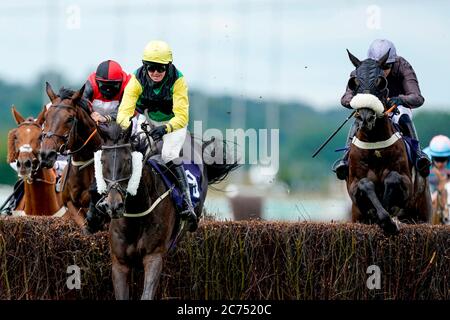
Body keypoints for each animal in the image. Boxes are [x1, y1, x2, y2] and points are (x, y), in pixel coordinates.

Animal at [94, 122, 236, 300]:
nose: (114, 206)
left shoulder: (154, 256)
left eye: (128, 160)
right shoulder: (120, 262)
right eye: (101, 161)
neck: (136, 214)